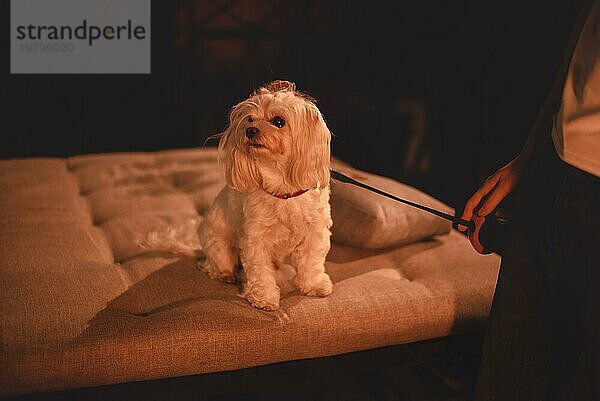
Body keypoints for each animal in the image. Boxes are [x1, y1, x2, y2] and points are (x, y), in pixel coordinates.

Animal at [145, 81, 332, 310]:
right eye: (250, 119)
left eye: (279, 121)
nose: (250, 130)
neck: (283, 191)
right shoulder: (255, 239)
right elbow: (260, 270)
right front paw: (264, 298)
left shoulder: (315, 234)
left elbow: (311, 262)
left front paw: (314, 285)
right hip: (219, 246)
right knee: (212, 265)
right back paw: (224, 274)